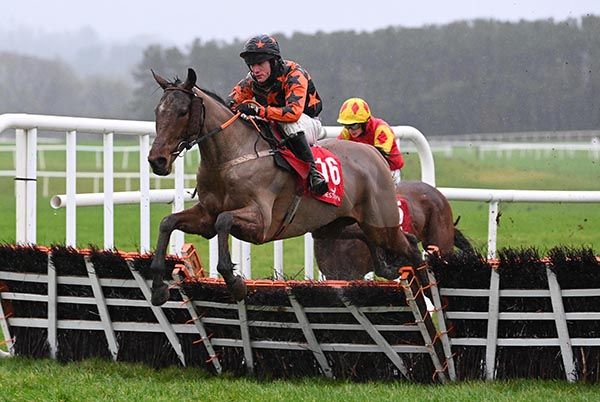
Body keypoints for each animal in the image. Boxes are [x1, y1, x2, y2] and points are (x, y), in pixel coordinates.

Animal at [147, 69, 420, 306]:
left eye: (183, 111)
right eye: (158, 111)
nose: (156, 160)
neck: (228, 159)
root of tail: (374, 154)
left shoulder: (261, 223)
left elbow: (224, 220)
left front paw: (235, 283)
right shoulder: (206, 216)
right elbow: (168, 222)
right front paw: (159, 286)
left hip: (381, 223)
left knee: (411, 246)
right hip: (334, 225)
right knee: (377, 238)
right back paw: (388, 267)